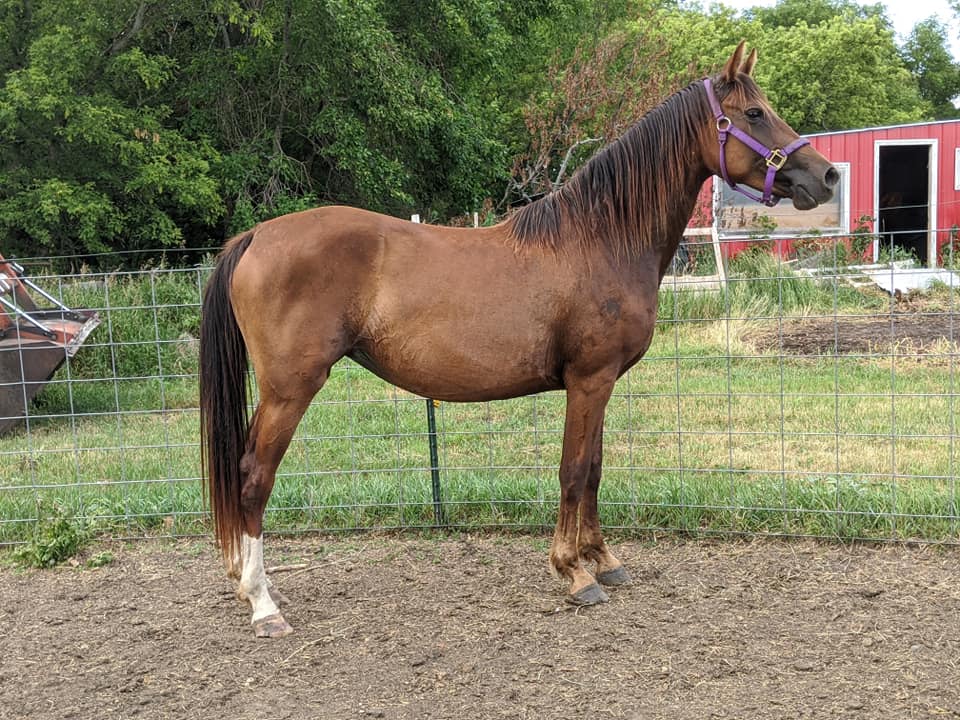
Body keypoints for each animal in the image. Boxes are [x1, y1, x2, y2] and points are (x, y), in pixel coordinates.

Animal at [199, 42, 838, 637]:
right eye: (754, 113)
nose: (827, 175)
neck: (600, 238)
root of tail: (257, 235)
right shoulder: (588, 381)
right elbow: (574, 471)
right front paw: (574, 573)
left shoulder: (601, 383)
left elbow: (595, 469)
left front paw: (604, 560)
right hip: (291, 389)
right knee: (253, 478)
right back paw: (263, 604)